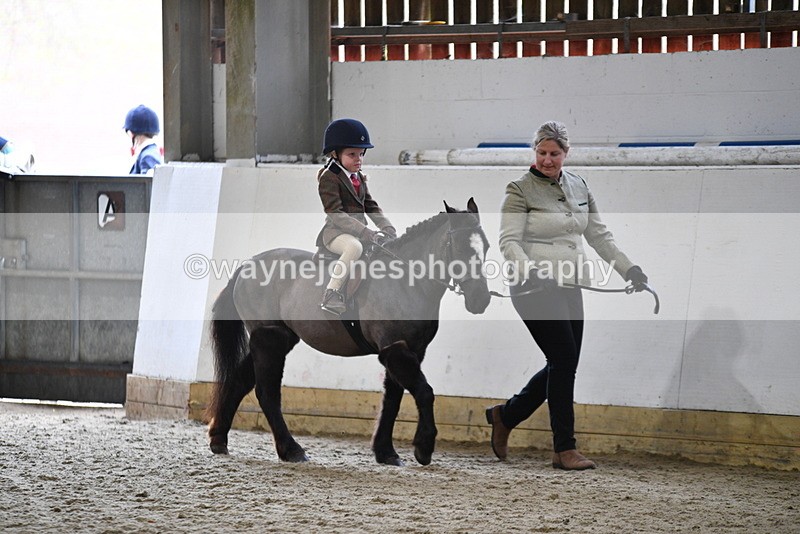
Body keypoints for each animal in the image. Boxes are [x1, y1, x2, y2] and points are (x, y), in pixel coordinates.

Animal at [206, 198, 491, 466]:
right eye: (461, 247)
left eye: (486, 247)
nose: (481, 299)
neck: (405, 283)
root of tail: (246, 266)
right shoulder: (396, 350)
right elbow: (424, 392)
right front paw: (423, 448)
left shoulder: (408, 351)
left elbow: (392, 401)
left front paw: (386, 452)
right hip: (270, 340)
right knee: (267, 392)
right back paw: (292, 450)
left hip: (278, 338)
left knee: (239, 380)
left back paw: (219, 440)